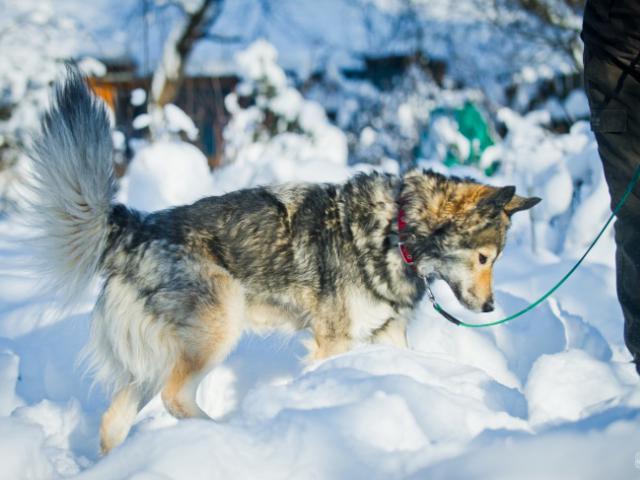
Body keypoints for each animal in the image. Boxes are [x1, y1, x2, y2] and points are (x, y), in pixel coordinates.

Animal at [28, 71, 540, 454]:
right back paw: (233, 435)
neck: (394, 233)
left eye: (496, 260)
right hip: (219, 326)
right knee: (176, 398)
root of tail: (134, 225)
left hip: (154, 362)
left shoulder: (388, 334)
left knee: (114, 422)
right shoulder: (333, 342)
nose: (491, 308)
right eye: (483, 257)